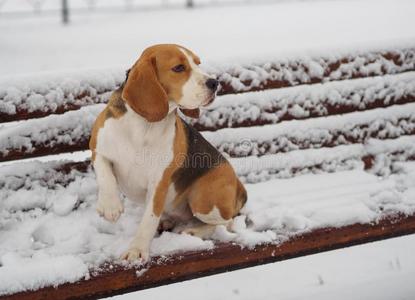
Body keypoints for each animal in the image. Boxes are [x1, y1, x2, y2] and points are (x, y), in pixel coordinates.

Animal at [89, 43, 247, 262]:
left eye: (198, 63)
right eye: (179, 68)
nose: (214, 83)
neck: (144, 125)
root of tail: (239, 186)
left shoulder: (159, 183)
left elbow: (148, 220)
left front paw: (137, 249)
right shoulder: (97, 147)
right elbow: (105, 173)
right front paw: (110, 206)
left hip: (202, 199)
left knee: (227, 222)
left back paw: (194, 231)